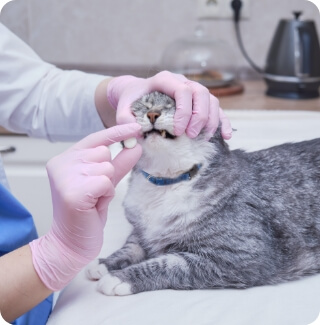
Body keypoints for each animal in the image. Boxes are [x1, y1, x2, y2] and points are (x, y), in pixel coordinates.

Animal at [85, 90, 320, 294]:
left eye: (179, 106)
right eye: (145, 105)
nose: (153, 114)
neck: (165, 183)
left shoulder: (239, 254)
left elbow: (166, 263)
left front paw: (120, 277)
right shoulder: (141, 231)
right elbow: (131, 247)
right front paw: (105, 264)